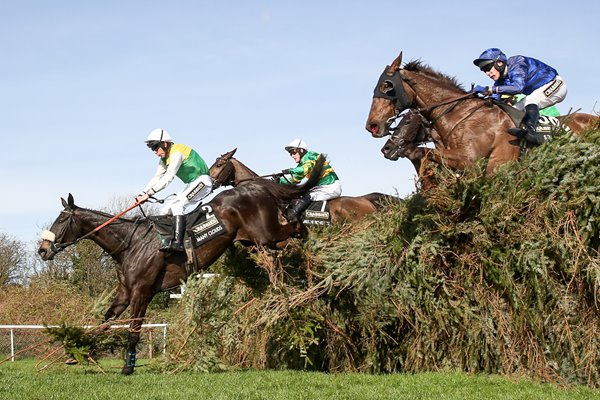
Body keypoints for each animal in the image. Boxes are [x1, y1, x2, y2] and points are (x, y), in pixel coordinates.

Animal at [37, 157, 326, 376]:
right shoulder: (125, 292)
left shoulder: (142, 292)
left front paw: (128, 367)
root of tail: (255, 187)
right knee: (281, 249)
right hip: (256, 242)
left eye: (61, 220)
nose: (42, 250)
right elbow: (105, 321)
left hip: (266, 233)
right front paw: (77, 350)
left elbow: (134, 329)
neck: (131, 243)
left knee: (295, 228)